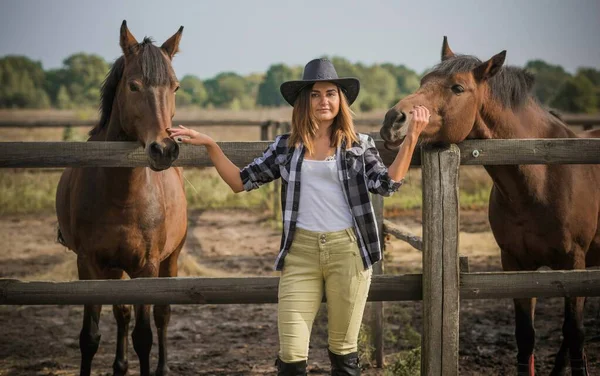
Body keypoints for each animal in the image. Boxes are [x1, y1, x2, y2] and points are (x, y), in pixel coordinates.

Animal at [56, 21, 188, 376]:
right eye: (134, 86)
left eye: (175, 87)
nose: (164, 149)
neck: (122, 196)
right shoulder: (88, 264)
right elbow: (90, 336)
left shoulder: (148, 267)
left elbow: (144, 335)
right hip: (114, 270)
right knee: (122, 313)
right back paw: (119, 366)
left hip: (170, 260)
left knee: (162, 316)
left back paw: (162, 367)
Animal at [382, 37, 596, 376]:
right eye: (423, 81)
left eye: (457, 88)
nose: (393, 120)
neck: (543, 176)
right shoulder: (514, 263)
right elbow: (525, 337)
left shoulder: (574, 262)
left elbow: (575, 334)